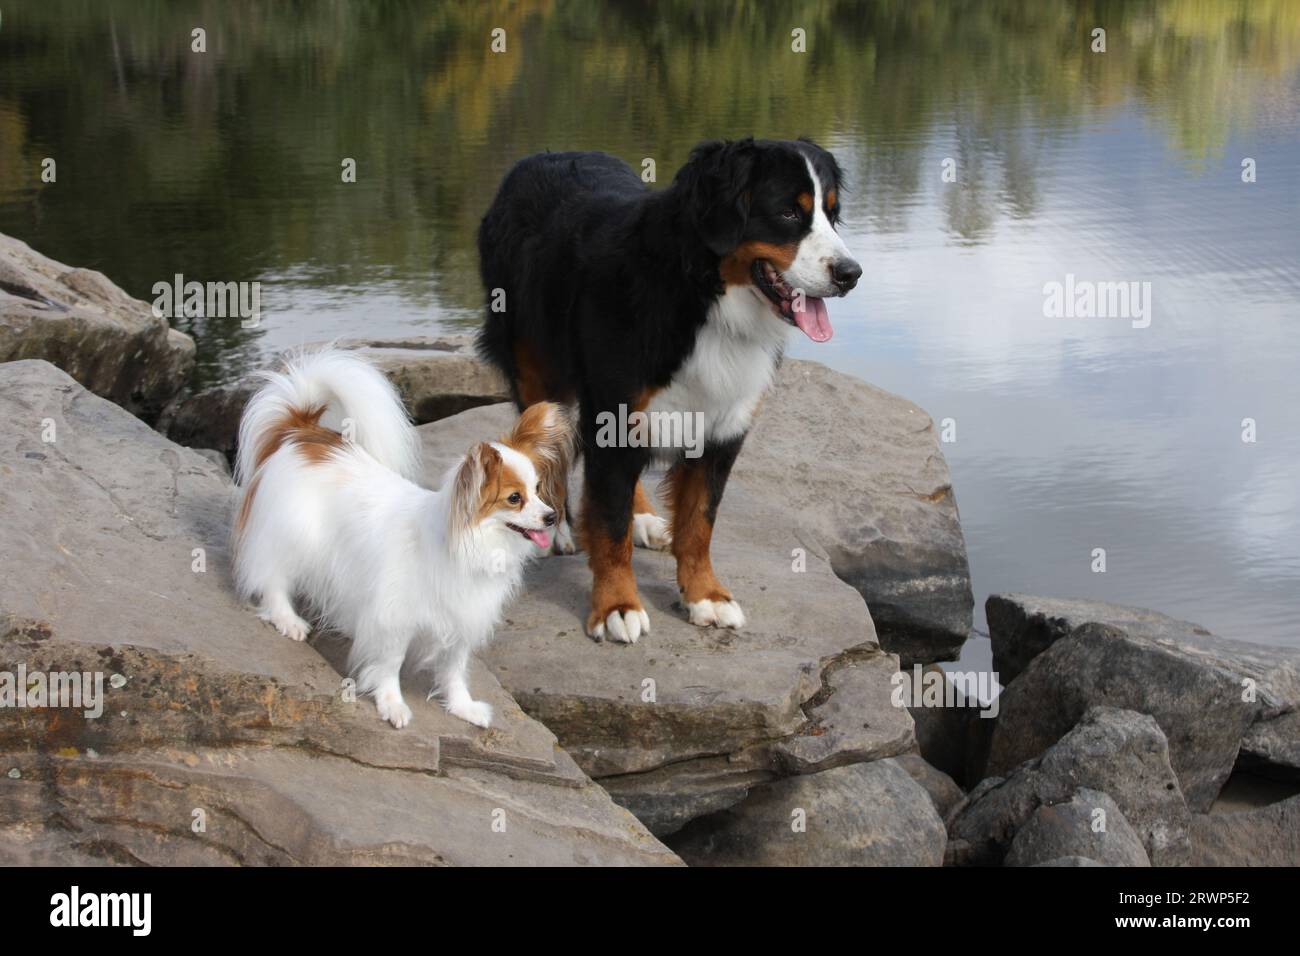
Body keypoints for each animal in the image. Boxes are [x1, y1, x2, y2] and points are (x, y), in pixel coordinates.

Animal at [233, 348, 569, 728]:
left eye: (538, 490)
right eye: (514, 498)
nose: (551, 516)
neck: (472, 544)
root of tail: (301, 430)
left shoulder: (462, 621)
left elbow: (454, 670)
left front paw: (462, 707)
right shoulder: (394, 618)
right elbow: (390, 665)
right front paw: (392, 704)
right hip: (293, 534)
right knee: (272, 576)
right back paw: (287, 619)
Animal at [478, 136, 863, 642]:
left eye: (831, 213)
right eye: (788, 213)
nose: (851, 274)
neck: (706, 302)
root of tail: (540, 156)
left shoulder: (722, 426)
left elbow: (699, 522)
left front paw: (705, 596)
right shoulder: (614, 416)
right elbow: (610, 523)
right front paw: (617, 605)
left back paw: (642, 517)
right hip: (536, 369)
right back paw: (555, 526)